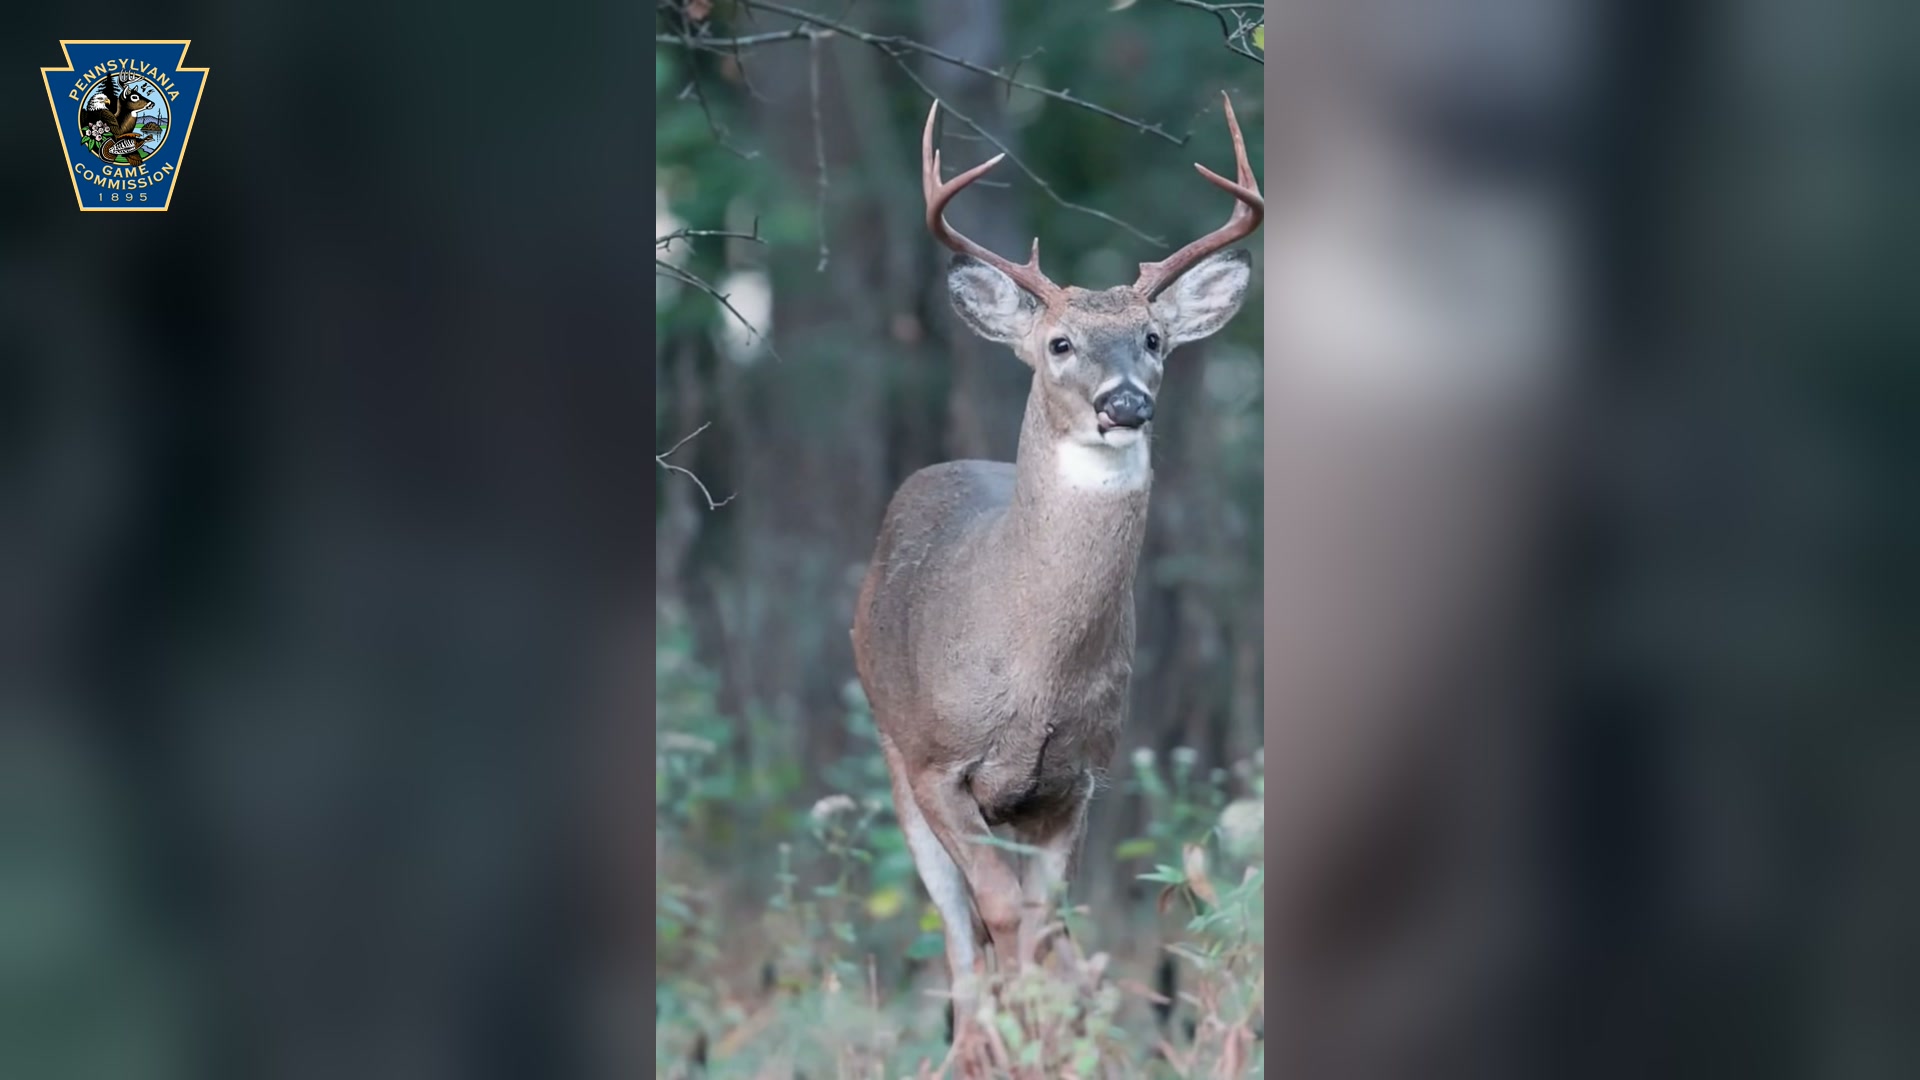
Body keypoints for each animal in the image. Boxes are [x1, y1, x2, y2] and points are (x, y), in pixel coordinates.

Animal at [850, 92, 1263, 1046]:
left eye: (1154, 338)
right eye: (1061, 343)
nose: (1126, 404)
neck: (1032, 666)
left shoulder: (1077, 776)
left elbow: (1041, 928)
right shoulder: (937, 763)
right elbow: (998, 919)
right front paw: (1018, 1047)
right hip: (891, 749)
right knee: (960, 943)